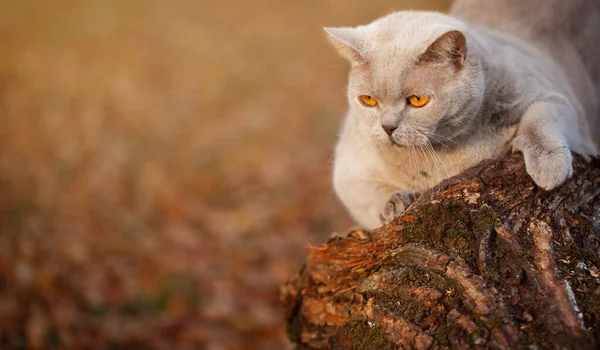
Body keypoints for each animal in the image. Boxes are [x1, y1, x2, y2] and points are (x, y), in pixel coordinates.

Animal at [326, 0, 600, 231]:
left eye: (417, 100)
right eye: (368, 100)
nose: (387, 127)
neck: (446, 154)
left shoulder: (550, 94)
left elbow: (538, 120)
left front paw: (549, 168)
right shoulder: (349, 170)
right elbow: (368, 198)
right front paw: (393, 205)